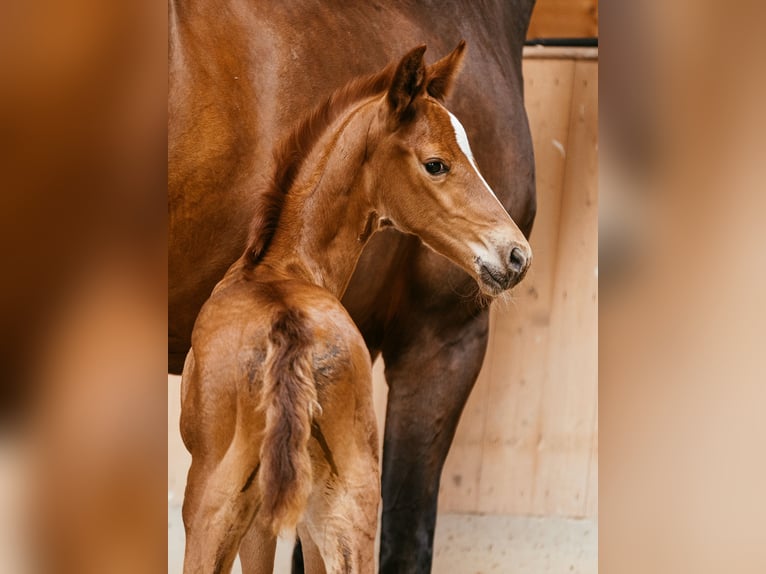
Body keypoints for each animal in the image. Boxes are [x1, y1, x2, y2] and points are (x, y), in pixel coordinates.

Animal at [170, 2, 536, 572]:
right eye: (437, 163)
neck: (279, 269)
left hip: (217, 505)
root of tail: (291, 343)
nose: (516, 255)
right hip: (343, 505)